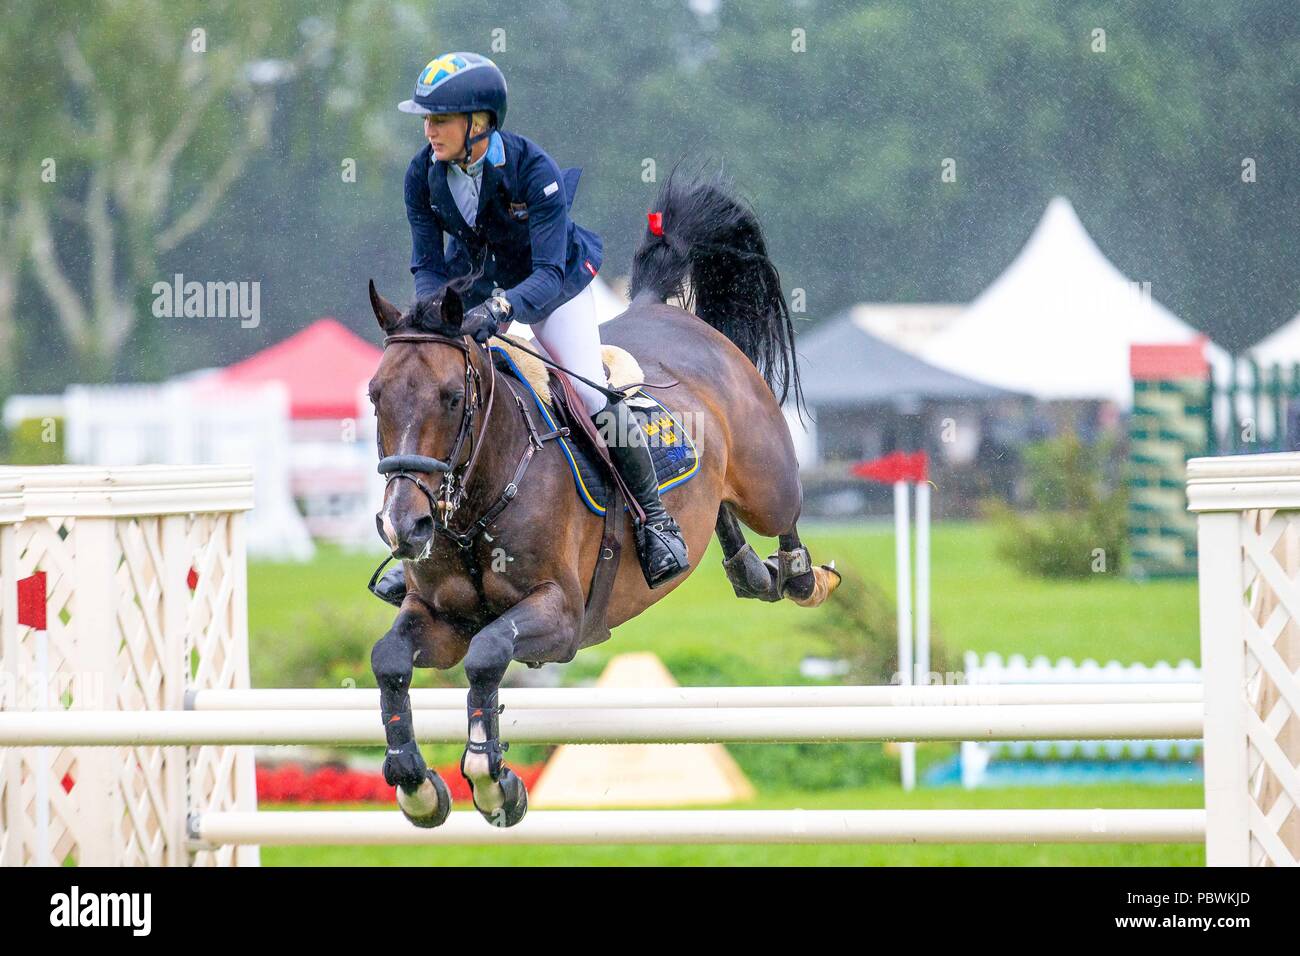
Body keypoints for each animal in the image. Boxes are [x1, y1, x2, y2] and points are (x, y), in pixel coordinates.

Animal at [364, 167, 842, 827]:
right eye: (375, 395)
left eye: (451, 398)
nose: (403, 527)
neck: (477, 505)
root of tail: (665, 311)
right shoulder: (439, 618)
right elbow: (389, 659)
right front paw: (416, 784)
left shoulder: (561, 613)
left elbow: (487, 654)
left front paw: (492, 781)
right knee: (719, 515)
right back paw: (744, 567)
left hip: (766, 477)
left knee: (784, 514)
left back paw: (795, 575)